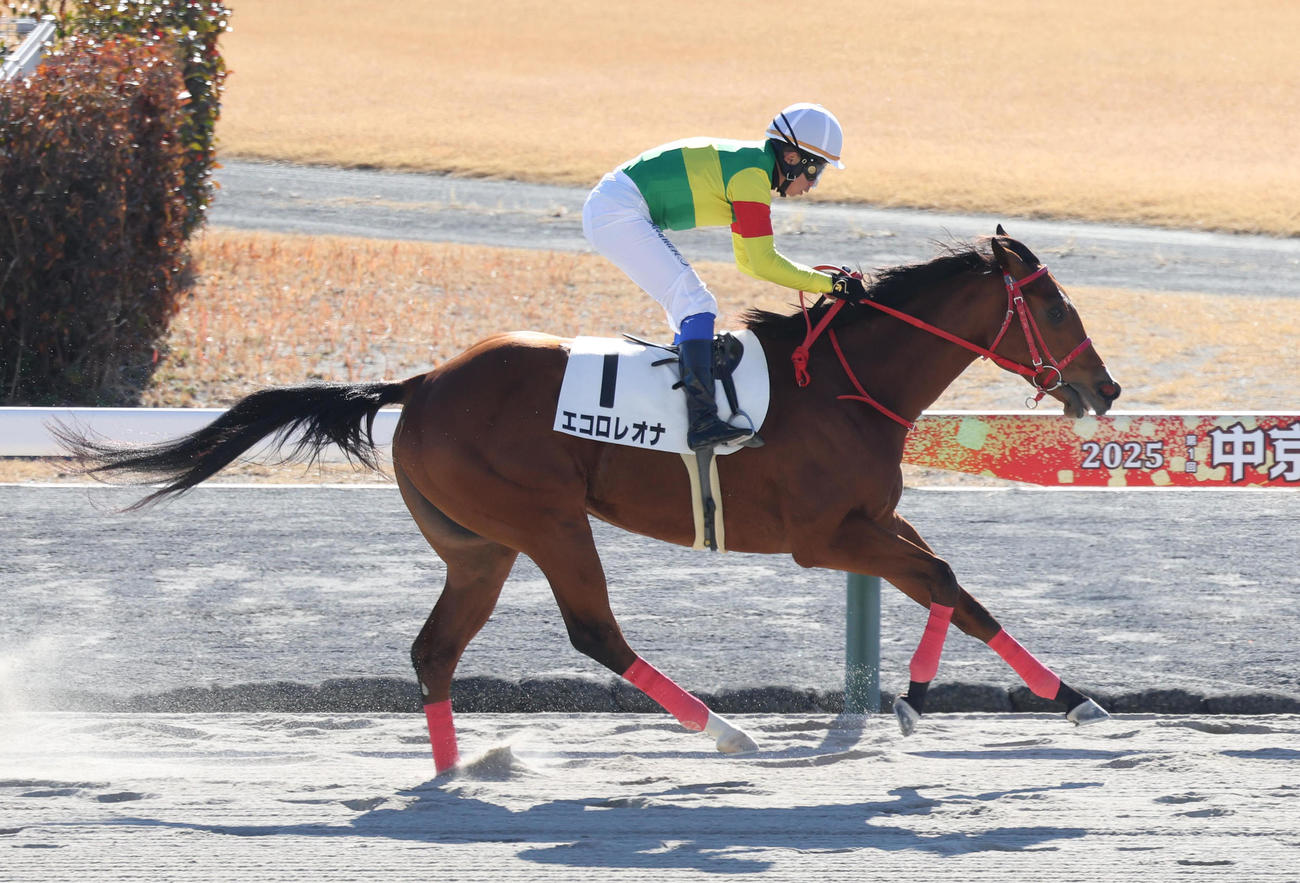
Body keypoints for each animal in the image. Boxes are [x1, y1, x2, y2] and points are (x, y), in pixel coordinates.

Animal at [58, 230, 1118, 775]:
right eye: (1056, 304)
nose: (1102, 388)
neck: (845, 384)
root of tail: (422, 382)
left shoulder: (871, 521)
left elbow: (955, 586)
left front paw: (1056, 698)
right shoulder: (825, 538)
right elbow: (940, 576)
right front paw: (932, 699)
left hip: (477, 546)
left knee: (434, 649)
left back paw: (455, 771)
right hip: (547, 521)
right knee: (594, 632)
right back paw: (722, 730)